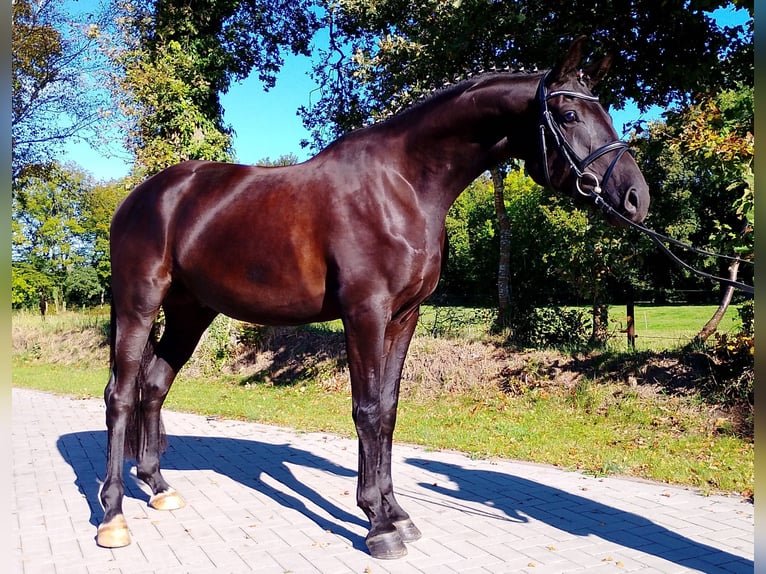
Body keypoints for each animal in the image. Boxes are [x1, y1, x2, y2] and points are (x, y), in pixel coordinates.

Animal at [94, 38, 648, 560]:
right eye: (570, 115)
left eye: (606, 112)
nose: (636, 198)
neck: (401, 185)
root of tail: (138, 198)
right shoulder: (364, 314)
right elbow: (366, 410)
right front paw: (378, 527)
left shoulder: (404, 317)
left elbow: (388, 410)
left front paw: (396, 513)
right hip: (140, 303)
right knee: (120, 394)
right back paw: (113, 516)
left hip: (191, 311)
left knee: (153, 385)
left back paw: (158, 487)